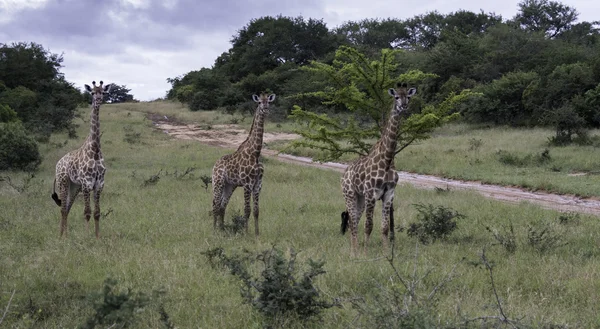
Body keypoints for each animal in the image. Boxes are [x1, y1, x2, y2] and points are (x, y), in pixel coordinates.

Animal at [51, 79, 112, 238]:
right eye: (92, 92)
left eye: (103, 92)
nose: (98, 100)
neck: (95, 150)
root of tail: (58, 163)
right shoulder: (86, 183)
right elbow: (87, 212)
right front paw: (86, 236)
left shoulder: (99, 183)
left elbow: (97, 213)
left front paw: (97, 237)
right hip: (63, 182)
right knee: (62, 208)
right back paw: (61, 236)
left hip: (74, 186)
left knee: (67, 208)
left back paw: (66, 235)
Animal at [212, 93, 276, 234]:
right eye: (259, 102)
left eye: (269, 102)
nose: (266, 109)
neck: (255, 153)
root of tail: (215, 165)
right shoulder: (247, 184)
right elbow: (247, 210)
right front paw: (246, 233)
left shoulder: (258, 184)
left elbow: (256, 211)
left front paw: (257, 234)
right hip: (218, 182)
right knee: (215, 204)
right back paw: (214, 230)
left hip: (230, 185)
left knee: (222, 205)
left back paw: (222, 229)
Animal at [340, 82, 414, 256]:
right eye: (396, 97)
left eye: (408, 96)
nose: (403, 106)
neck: (387, 159)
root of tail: (344, 173)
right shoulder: (371, 193)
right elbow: (369, 226)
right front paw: (366, 253)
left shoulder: (389, 193)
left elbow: (385, 227)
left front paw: (387, 253)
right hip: (350, 195)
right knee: (352, 222)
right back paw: (354, 253)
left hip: (359, 198)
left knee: (354, 221)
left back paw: (354, 250)